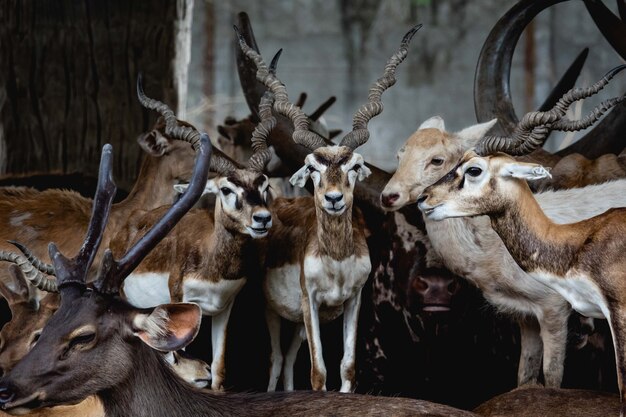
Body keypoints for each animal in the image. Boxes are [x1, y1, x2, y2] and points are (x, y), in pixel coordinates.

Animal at [235, 24, 420, 392]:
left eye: (354, 166)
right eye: (312, 167)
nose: (334, 199)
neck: (335, 258)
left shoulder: (352, 301)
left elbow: (347, 367)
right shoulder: (311, 301)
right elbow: (318, 371)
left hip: (296, 323)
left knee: (289, 360)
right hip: (275, 312)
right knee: (276, 360)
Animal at [378, 65, 624, 386]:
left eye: (437, 159)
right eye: (400, 154)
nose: (389, 196)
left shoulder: (555, 310)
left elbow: (552, 377)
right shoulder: (526, 317)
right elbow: (525, 376)